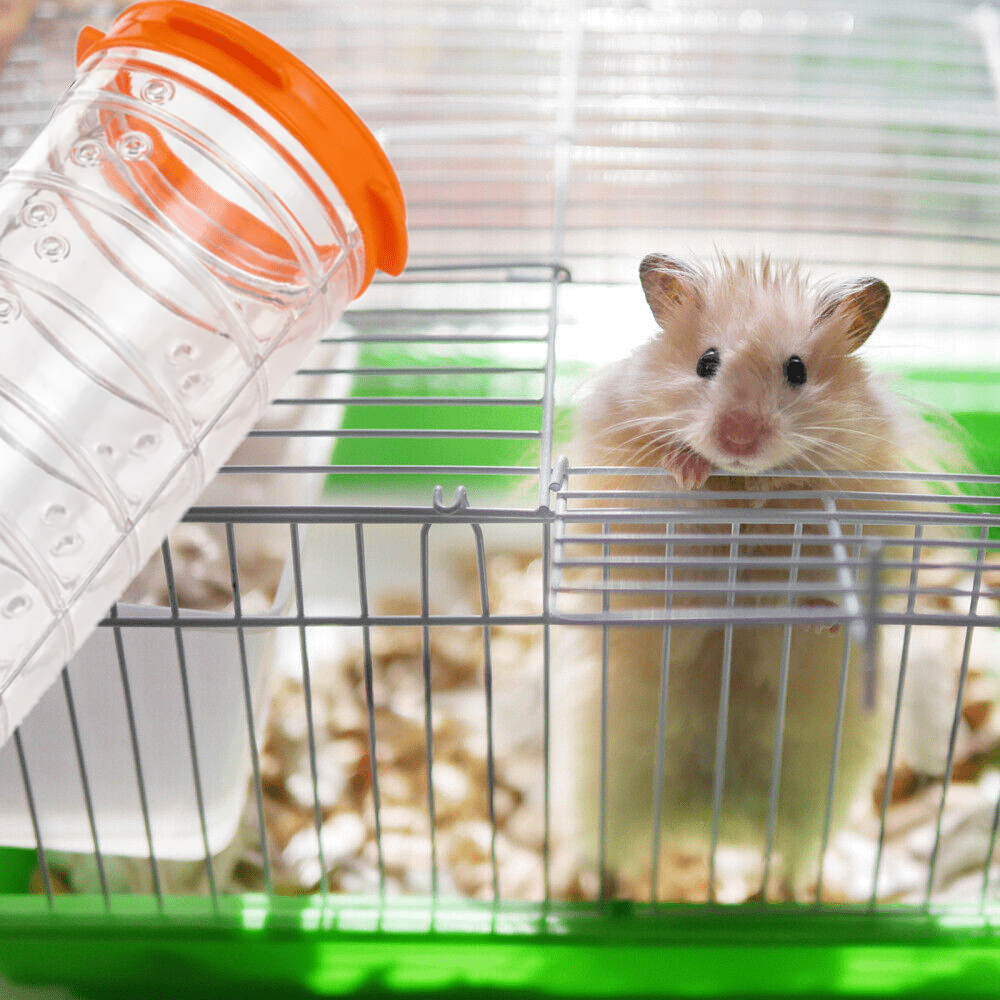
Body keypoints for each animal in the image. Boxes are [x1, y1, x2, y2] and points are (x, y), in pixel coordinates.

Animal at [551, 253, 946, 901]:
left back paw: (778, 897)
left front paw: (823, 617)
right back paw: (605, 895)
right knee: (609, 855)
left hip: (814, 807)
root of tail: (711, 824)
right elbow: (667, 518)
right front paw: (688, 467)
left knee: (788, 862)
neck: (740, 488)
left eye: (797, 370)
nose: (737, 439)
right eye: (706, 362)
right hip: (604, 791)